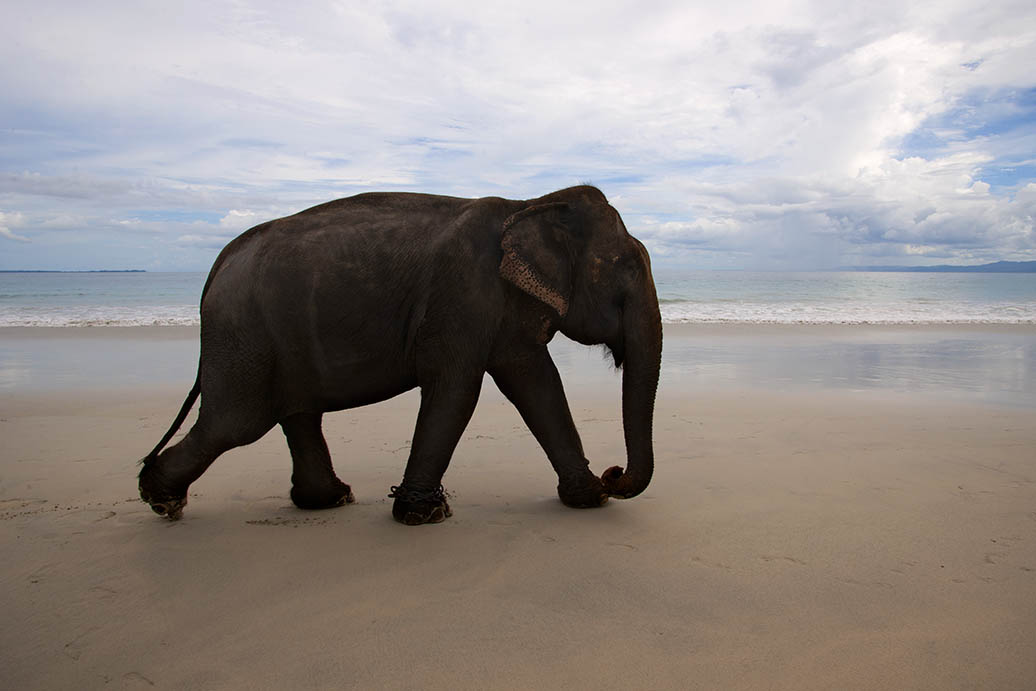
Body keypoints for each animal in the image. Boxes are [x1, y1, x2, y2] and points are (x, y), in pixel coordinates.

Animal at [137, 183, 658, 524]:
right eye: (626, 268)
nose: (613, 473)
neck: (530, 203)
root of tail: (221, 259)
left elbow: (535, 381)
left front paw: (588, 499)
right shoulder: (463, 292)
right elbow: (456, 387)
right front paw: (423, 514)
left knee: (297, 414)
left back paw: (329, 500)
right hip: (243, 334)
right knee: (236, 422)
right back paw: (161, 499)